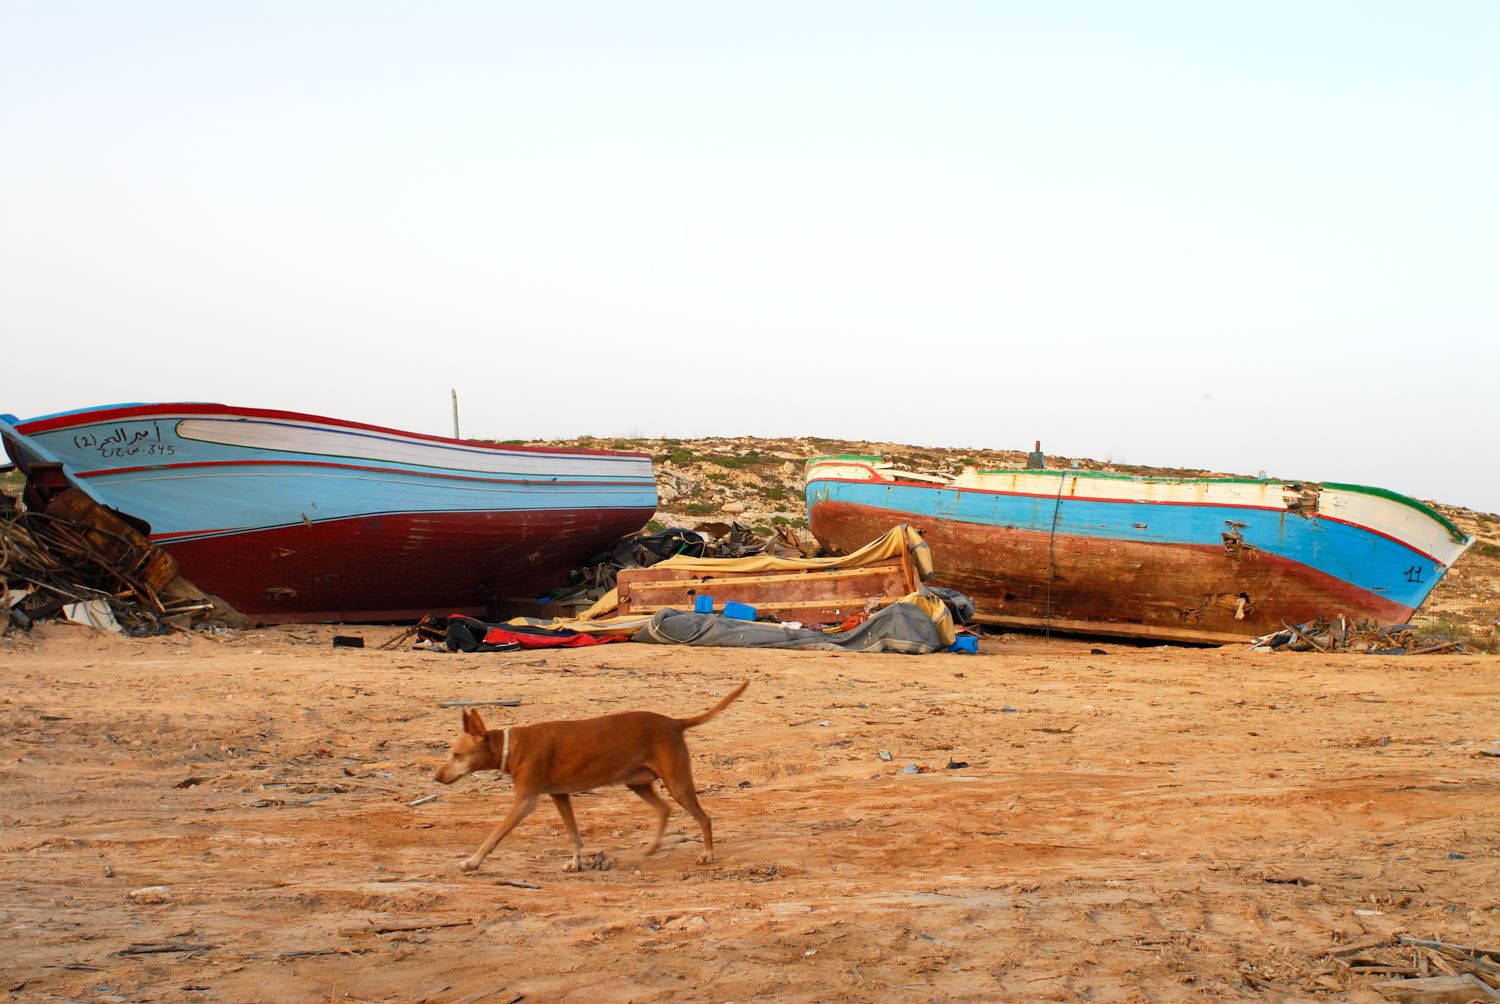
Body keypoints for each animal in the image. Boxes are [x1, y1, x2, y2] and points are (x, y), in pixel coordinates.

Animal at [432, 681, 747, 870]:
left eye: (456, 755)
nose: (436, 777)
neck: (512, 746)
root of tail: (674, 722)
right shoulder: (560, 795)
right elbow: (573, 833)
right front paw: (575, 862)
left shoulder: (525, 801)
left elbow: (494, 835)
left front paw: (472, 861)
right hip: (638, 783)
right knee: (665, 809)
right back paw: (651, 847)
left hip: (677, 782)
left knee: (704, 818)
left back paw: (708, 854)